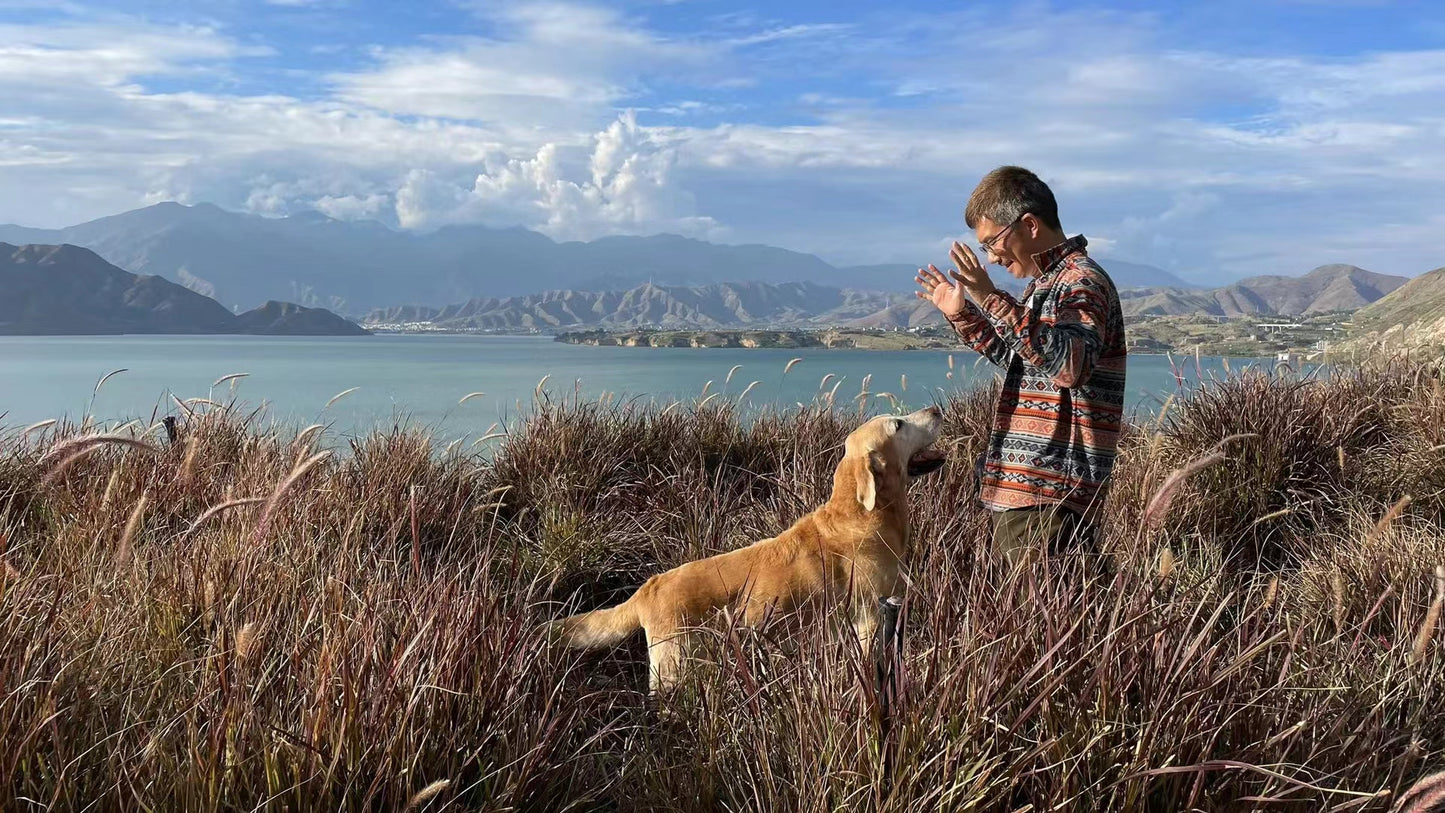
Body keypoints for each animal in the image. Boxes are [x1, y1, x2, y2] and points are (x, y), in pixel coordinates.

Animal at [546, 407, 942, 693]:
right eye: (898, 424)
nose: (937, 409)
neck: (864, 515)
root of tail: (648, 588)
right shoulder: (868, 618)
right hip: (675, 670)